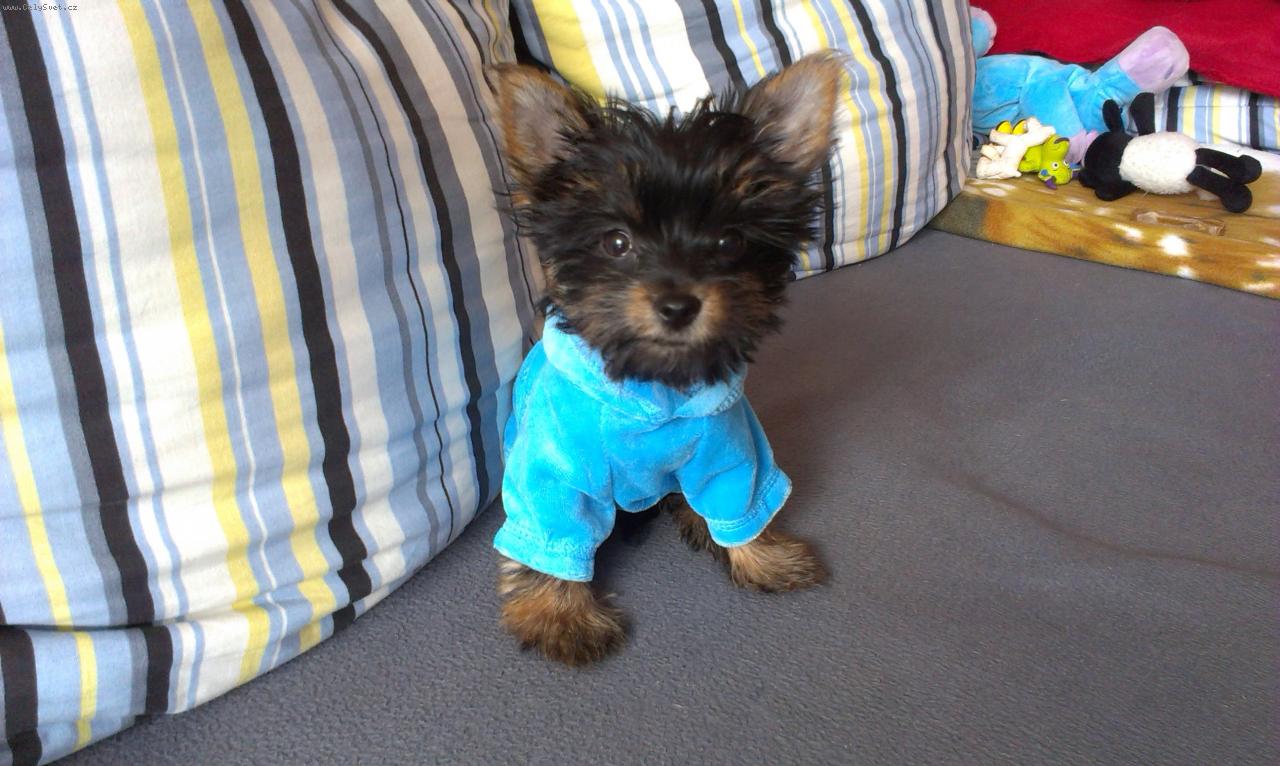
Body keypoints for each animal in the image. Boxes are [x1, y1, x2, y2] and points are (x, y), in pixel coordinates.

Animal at [490, 52, 844, 665]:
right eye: (616, 242)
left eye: (729, 242)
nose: (678, 304)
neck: (655, 386)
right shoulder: (555, 470)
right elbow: (553, 529)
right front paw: (559, 615)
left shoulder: (729, 453)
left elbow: (740, 504)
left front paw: (765, 558)